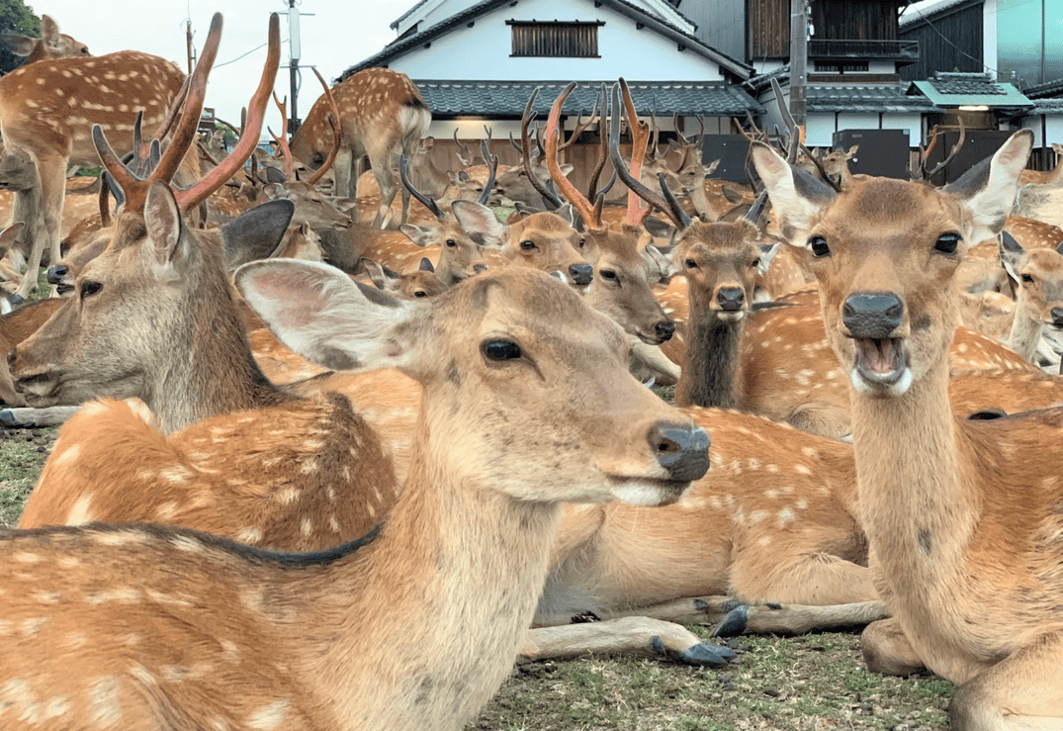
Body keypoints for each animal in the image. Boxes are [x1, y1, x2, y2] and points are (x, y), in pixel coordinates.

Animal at [287, 67, 430, 228]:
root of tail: (411, 97)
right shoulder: (356, 155)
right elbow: (352, 191)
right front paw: (353, 221)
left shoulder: (342, 148)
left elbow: (341, 191)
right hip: (412, 145)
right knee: (408, 187)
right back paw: (402, 227)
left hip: (377, 141)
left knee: (389, 186)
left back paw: (376, 227)